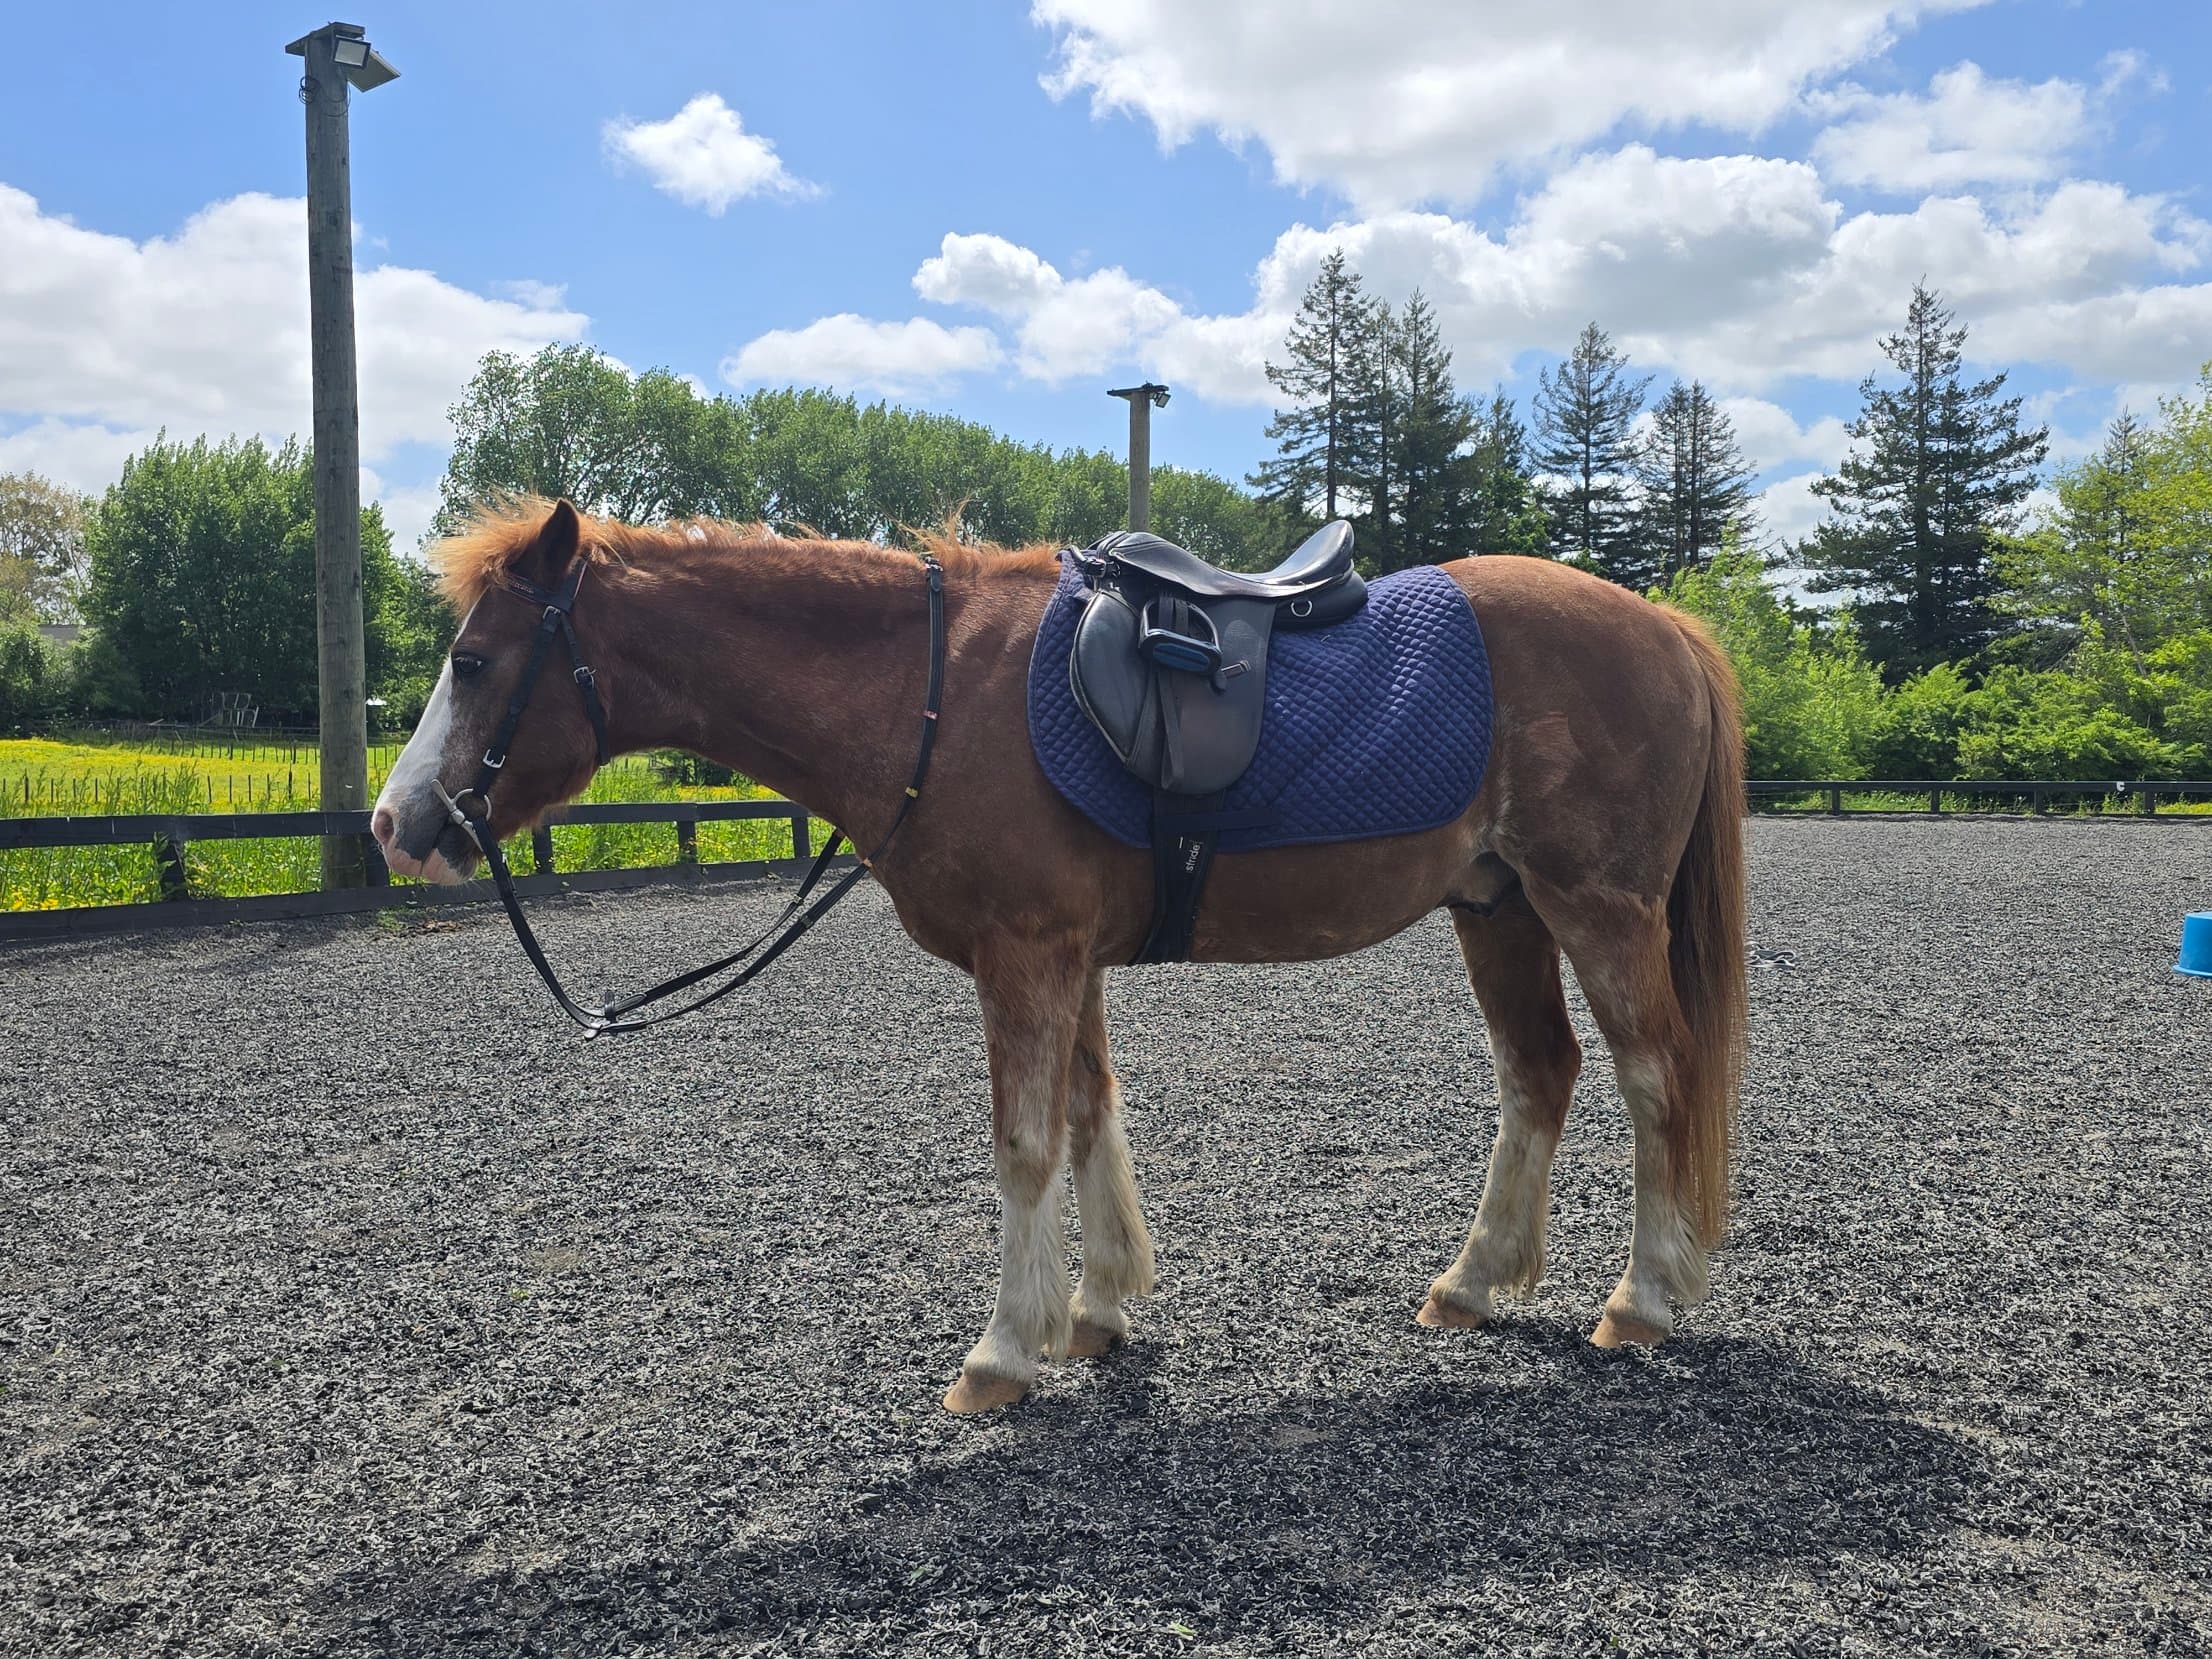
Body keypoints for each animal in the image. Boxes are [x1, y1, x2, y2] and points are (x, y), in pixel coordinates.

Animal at [371, 498, 1748, 1414]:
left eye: (473, 660)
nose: (394, 825)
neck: (929, 693)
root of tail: (1667, 627)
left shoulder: (1024, 951)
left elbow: (1025, 1141)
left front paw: (1002, 1351)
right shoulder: (1067, 954)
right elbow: (1089, 1113)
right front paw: (1095, 1308)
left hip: (1596, 907)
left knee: (1655, 1078)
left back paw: (1643, 1298)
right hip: (1498, 909)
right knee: (1539, 1075)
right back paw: (1473, 1281)